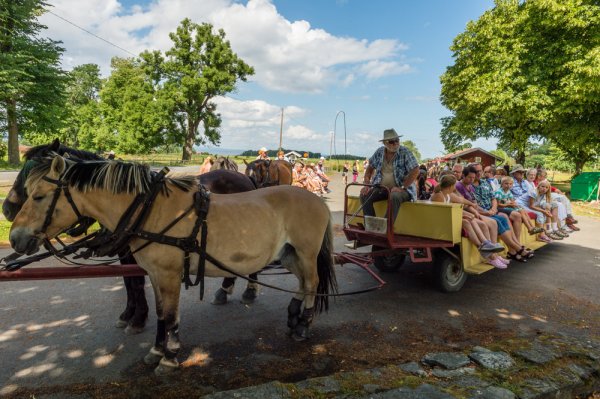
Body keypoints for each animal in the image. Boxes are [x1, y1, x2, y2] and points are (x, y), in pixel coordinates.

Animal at [10, 155, 338, 376]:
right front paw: (156, 350)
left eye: (38, 196)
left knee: (311, 284)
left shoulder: (168, 274)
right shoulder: (155, 274)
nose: (14, 237)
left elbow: (169, 315)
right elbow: (159, 314)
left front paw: (169, 356)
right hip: (289, 254)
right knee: (302, 284)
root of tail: (316, 200)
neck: (147, 209)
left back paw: (303, 324)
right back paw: (293, 317)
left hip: (306, 253)